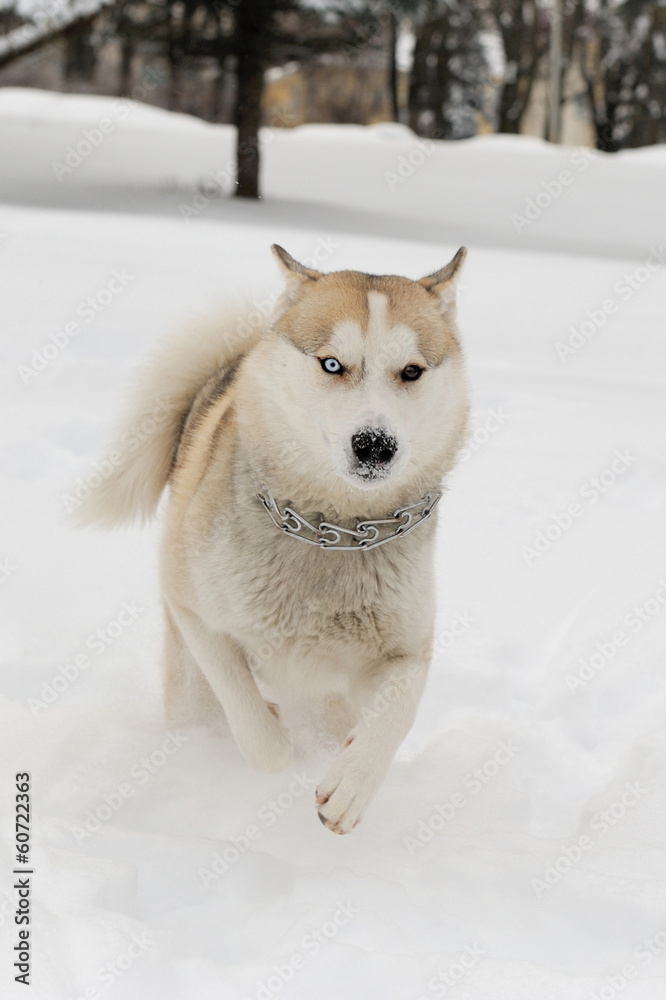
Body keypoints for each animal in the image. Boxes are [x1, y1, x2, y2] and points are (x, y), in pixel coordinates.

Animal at [81, 246, 466, 832]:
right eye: (331, 364)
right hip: (188, 687)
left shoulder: (405, 649)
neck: (331, 533)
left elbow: (397, 711)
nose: (375, 445)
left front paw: (351, 785)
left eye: (412, 372)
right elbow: (260, 736)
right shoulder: (194, 611)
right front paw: (277, 739)